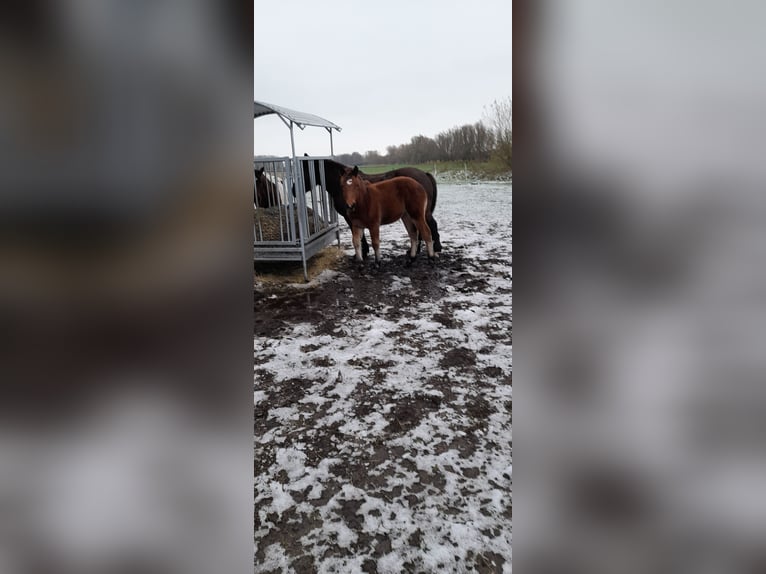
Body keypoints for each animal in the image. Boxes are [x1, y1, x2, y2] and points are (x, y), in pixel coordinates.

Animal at [302, 155, 444, 258]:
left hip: (420, 212)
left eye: (304, 173)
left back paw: (435, 248)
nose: (296, 192)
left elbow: (359, 236)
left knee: (431, 225)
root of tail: (424, 174)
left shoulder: (351, 218)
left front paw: (362, 253)